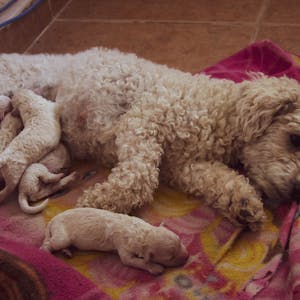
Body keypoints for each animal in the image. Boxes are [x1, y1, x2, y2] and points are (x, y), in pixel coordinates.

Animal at [41, 209, 189, 274]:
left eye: (180, 241)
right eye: (170, 257)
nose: (187, 257)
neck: (143, 234)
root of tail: (53, 219)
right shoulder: (124, 249)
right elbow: (137, 261)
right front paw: (155, 267)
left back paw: (66, 252)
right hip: (62, 236)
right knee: (48, 244)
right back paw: (45, 252)